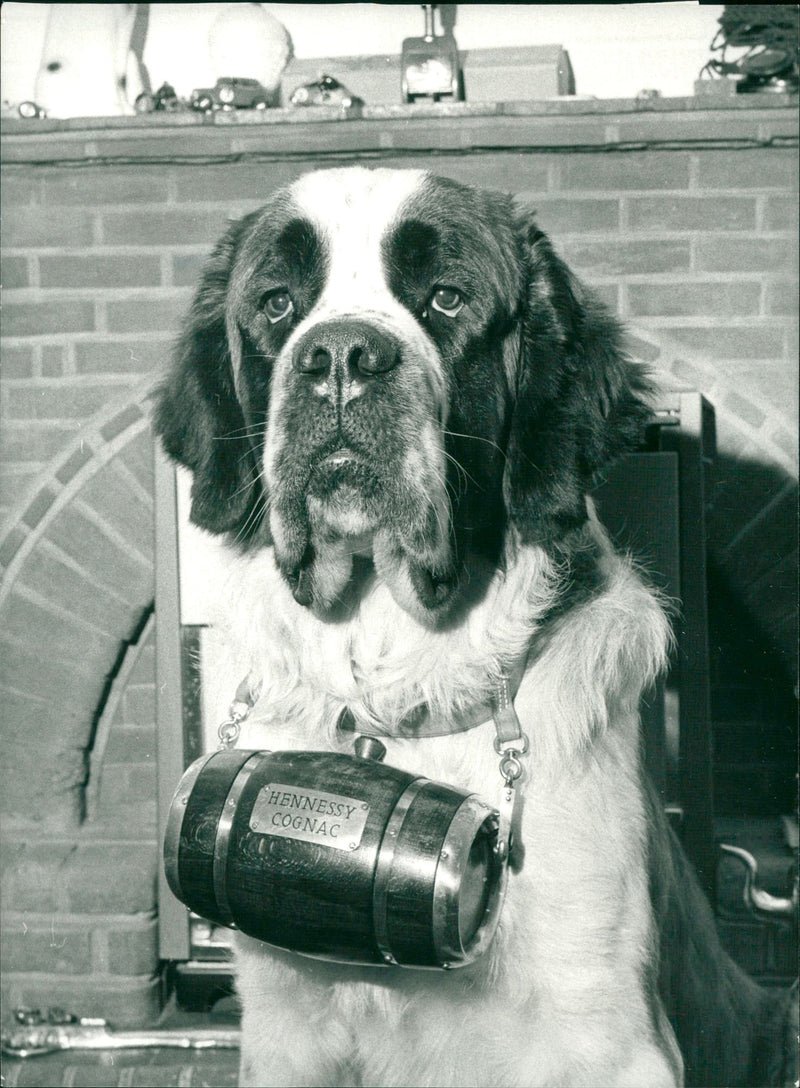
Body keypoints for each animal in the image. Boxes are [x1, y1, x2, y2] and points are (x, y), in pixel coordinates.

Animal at [154, 167, 796, 1088]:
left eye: (446, 298)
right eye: (277, 305)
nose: (339, 355)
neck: (393, 693)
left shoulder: (610, 1039)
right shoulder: (286, 1027)